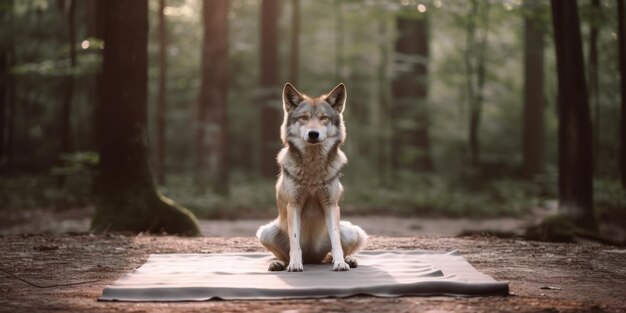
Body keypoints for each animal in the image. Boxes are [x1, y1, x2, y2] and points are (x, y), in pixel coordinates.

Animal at [256, 82, 368, 270]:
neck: (313, 169)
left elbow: (336, 242)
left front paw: (340, 263)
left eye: (324, 118)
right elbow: (295, 242)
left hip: (355, 232)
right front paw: (294, 265)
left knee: (334, 253)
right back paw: (279, 263)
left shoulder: (331, 205)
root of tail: (313, 258)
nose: (313, 133)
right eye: (304, 118)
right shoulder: (293, 205)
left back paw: (348, 261)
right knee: (283, 255)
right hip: (265, 232)